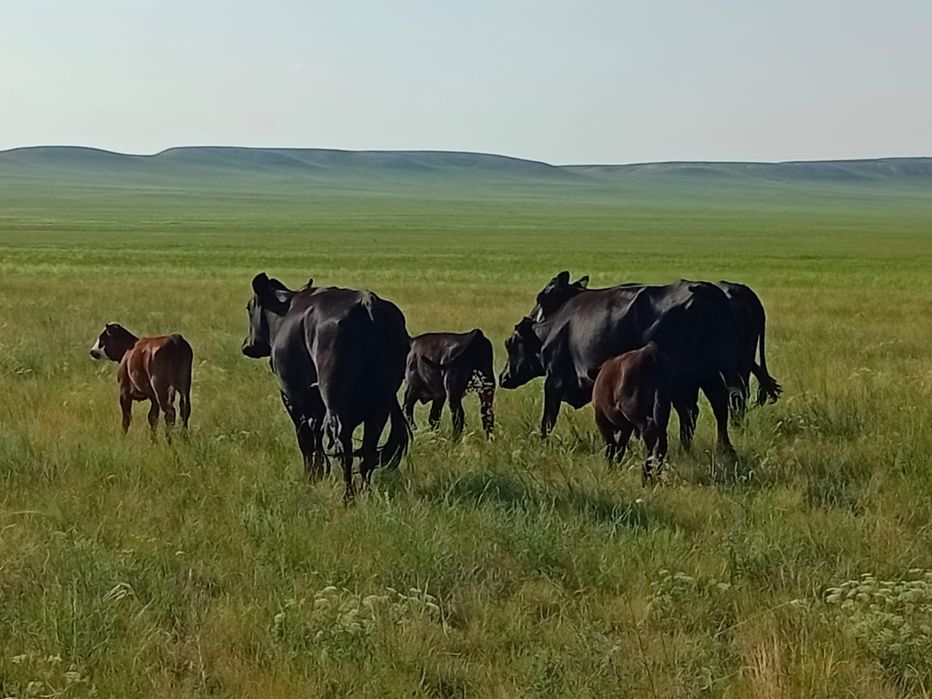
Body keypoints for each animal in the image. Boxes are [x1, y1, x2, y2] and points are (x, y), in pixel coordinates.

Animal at [241, 273, 410, 502]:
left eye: (249, 307)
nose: (247, 345)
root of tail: (369, 305)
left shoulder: (291, 398)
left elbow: (305, 439)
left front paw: (310, 476)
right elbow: (316, 437)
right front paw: (320, 473)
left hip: (337, 405)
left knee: (344, 447)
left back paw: (348, 497)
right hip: (380, 407)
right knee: (367, 451)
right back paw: (365, 493)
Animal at [499, 273, 746, 454]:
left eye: (510, 343)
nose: (503, 377)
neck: (555, 325)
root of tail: (705, 290)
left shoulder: (555, 380)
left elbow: (548, 418)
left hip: (686, 379)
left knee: (694, 411)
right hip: (709, 372)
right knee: (716, 407)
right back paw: (721, 449)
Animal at [591, 343, 672, 483]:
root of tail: (650, 351)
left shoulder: (601, 419)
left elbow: (611, 445)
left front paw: (610, 467)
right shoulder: (626, 427)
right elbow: (621, 447)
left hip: (632, 407)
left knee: (649, 432)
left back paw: (646, 474)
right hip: (662, 408)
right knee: (662, 441)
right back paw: (657, 473)